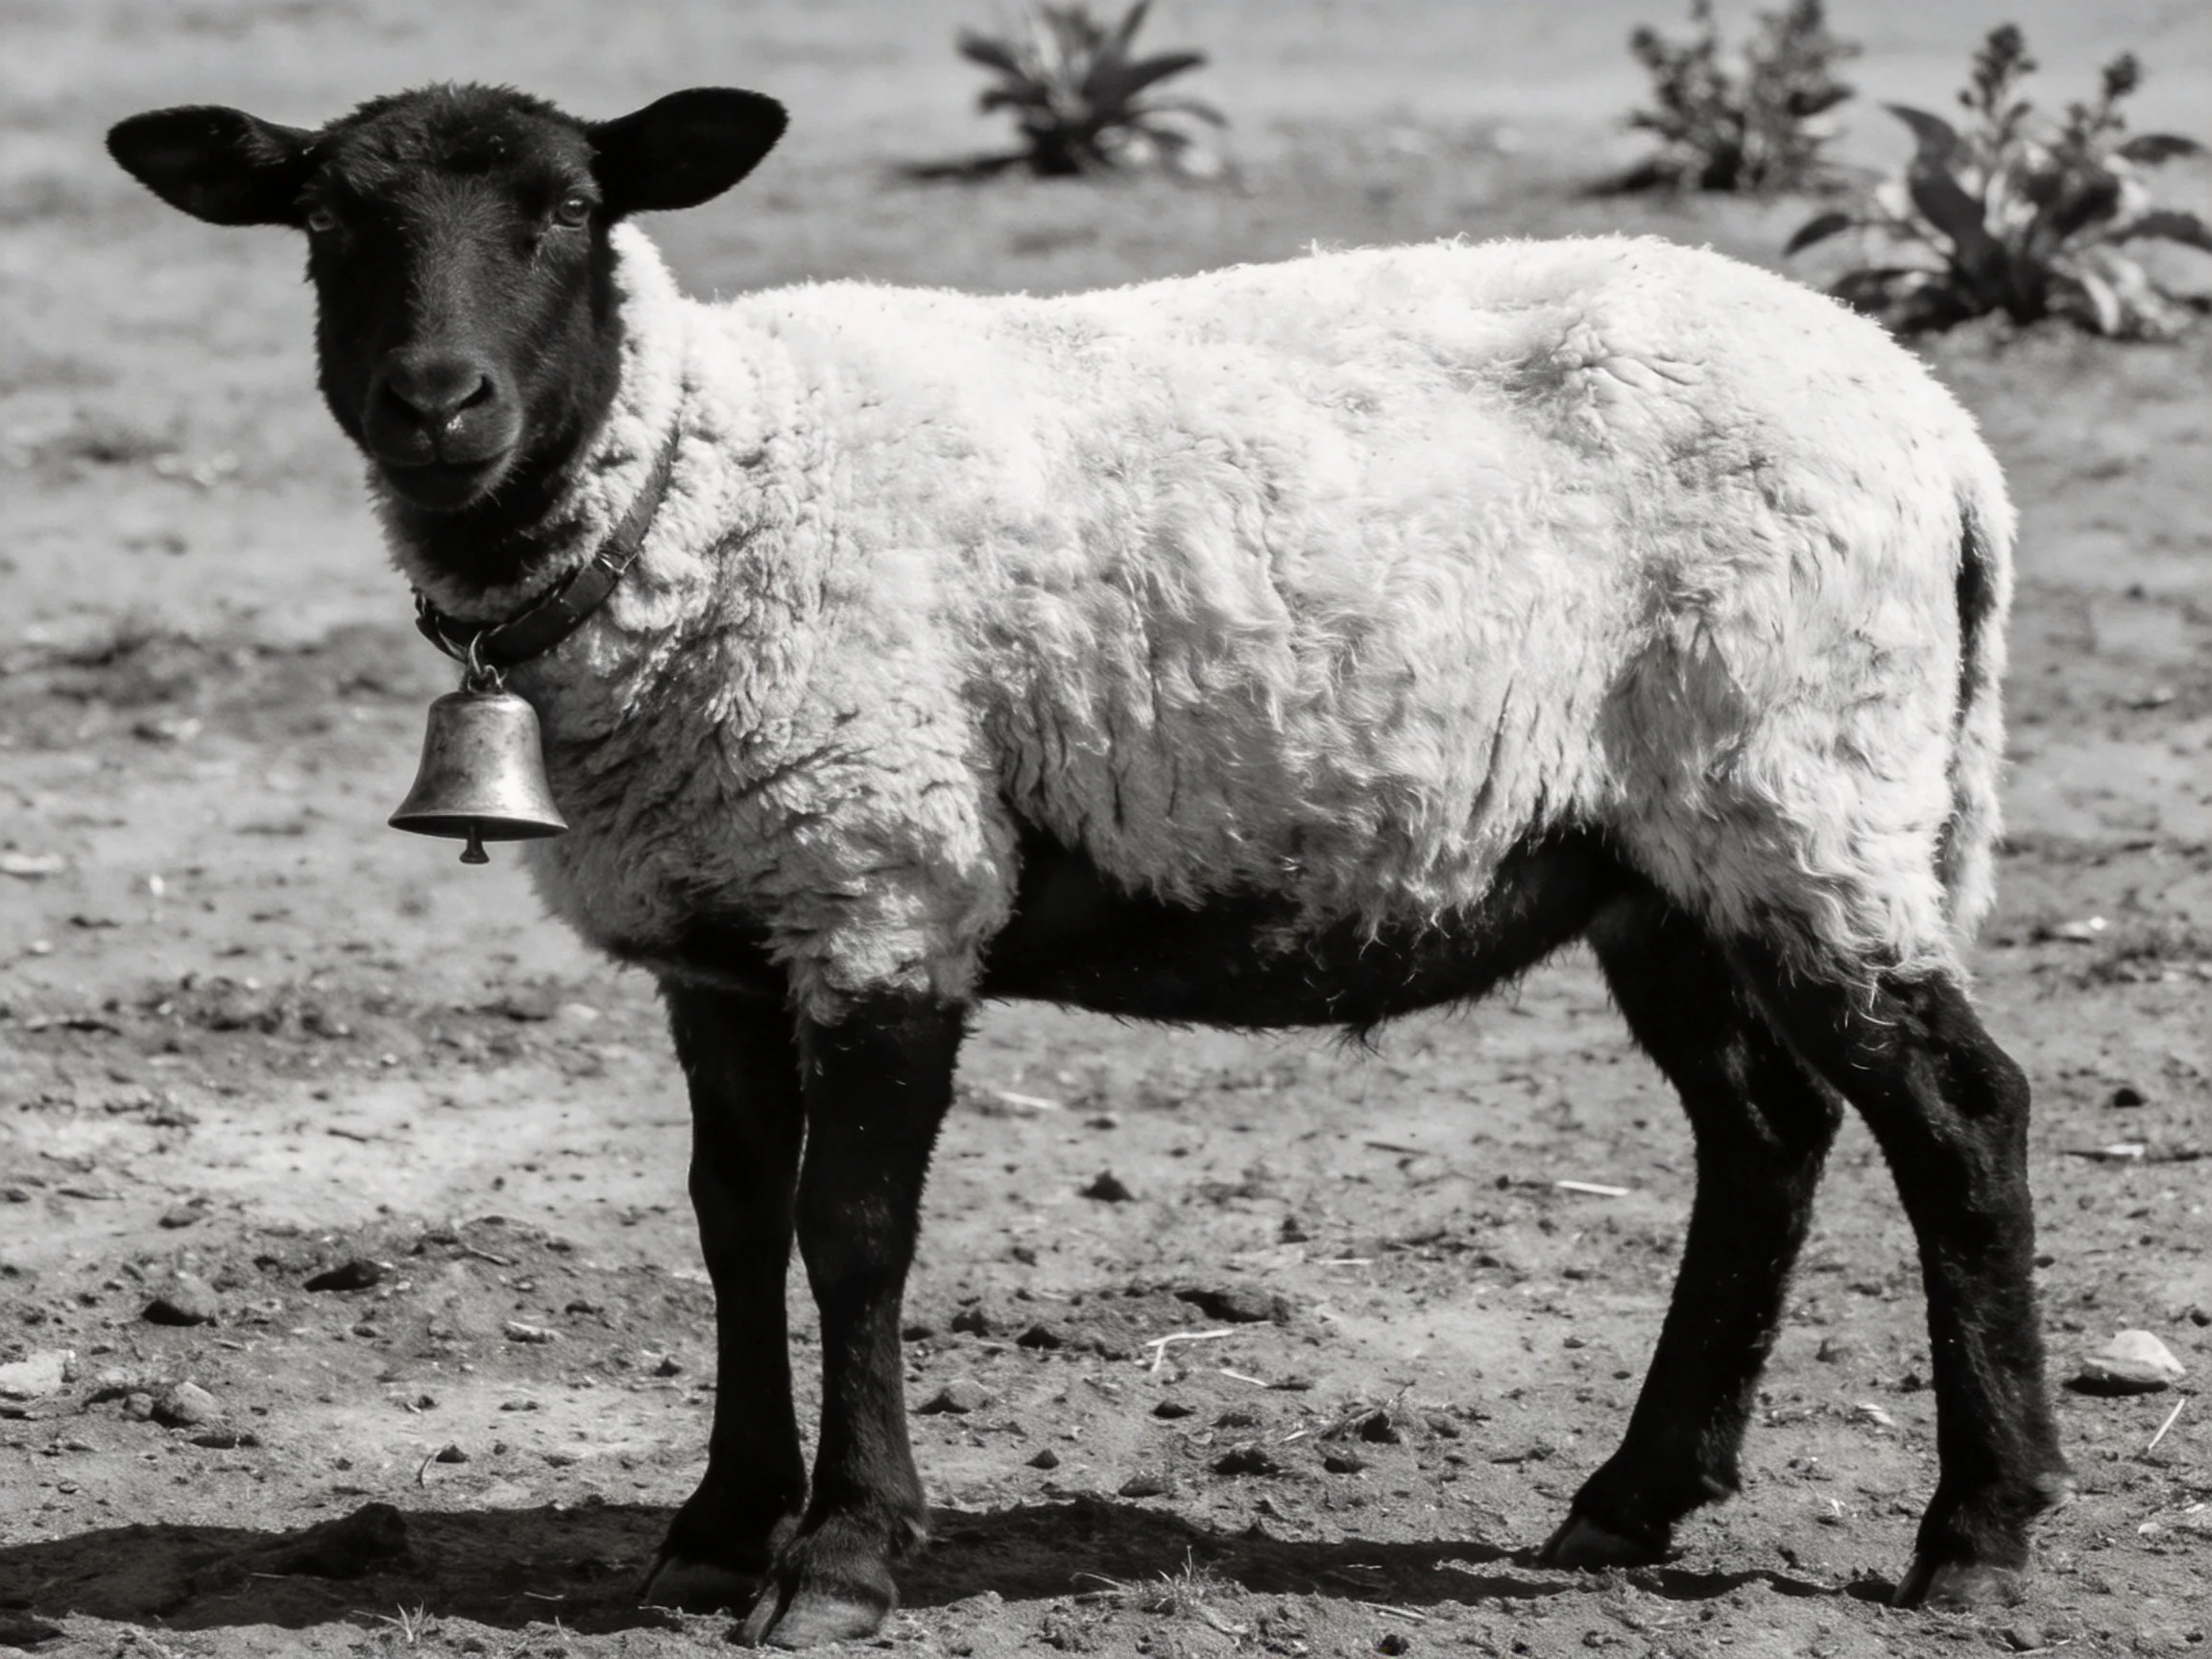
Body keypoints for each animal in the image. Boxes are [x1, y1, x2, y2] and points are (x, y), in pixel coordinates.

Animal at [108, 82, 2070, 1649]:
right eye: (323, 221)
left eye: (575, 211)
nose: (436, 401)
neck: (698, 485)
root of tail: (1938, 431)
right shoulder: (716, 928)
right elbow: (731, 1224)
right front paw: (715, 1526)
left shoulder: (885, 880)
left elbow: (851, 1234)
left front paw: (840, 1555)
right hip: (1654, 855)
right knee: (1765, 1136)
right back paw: (1632, 1497)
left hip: (1797, 781)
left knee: (1957, 1114)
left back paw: (1974, 1529)